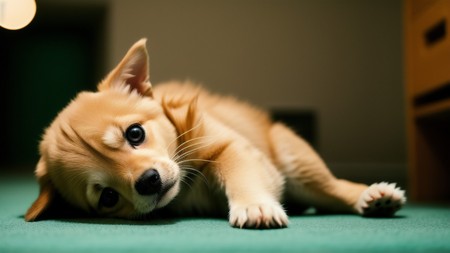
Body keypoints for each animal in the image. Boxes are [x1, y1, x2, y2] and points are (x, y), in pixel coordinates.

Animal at [24, 38, 406, 228]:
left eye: (135, 134)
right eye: (107, 198)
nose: (148, 181)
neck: (186, 187)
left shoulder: (231, 146)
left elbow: (240, 174)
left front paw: (254, 205)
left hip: (296, 160)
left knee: (333, 189)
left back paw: (371, 196)